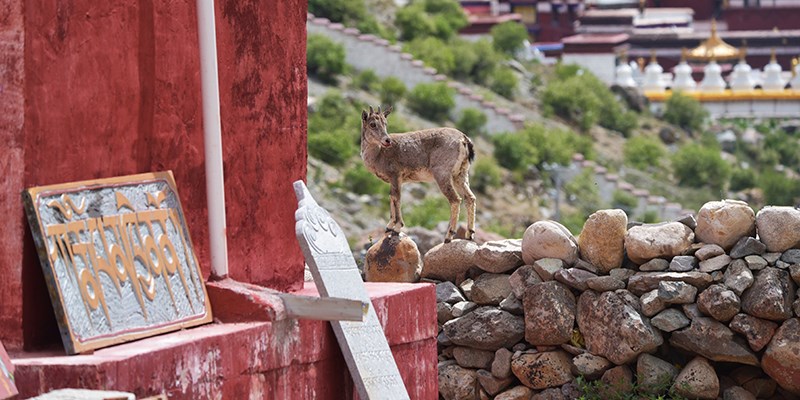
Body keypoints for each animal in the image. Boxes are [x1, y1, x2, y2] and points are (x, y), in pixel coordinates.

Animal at [360, 104, 476, 242]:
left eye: (385, 123)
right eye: (373, 124)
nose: (387, 140)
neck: (378, 154)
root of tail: (464, 139)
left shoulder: (395, 175)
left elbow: (397, 197)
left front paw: (397, 227)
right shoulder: (395, 180)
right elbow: (392, 197)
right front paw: (389, 226)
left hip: (442, 174)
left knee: (455, 200)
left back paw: (449, 236)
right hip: (460, 175)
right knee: (470, 198)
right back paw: (469, 234)